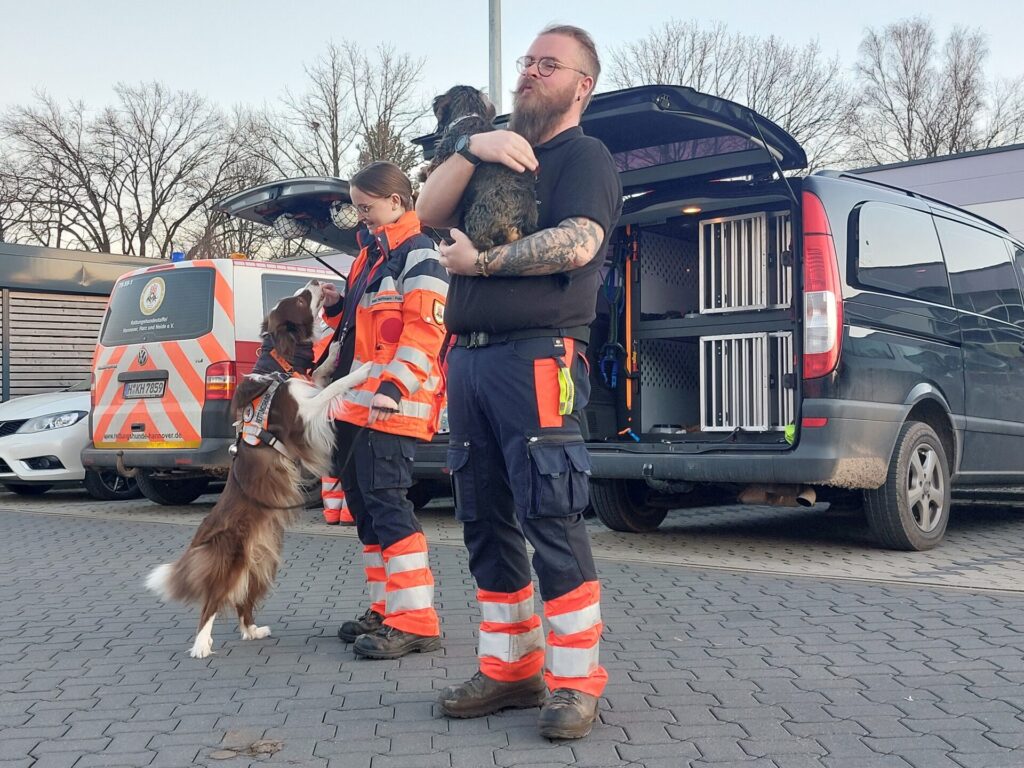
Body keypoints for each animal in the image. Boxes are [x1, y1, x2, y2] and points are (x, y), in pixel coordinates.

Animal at [148, 280, 364, 659]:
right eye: (301, 300)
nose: (315, 282)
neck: (277, 364)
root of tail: (201, 536)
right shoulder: (300, 419)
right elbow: (334, 387)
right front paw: (362, 370)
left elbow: (322, 375)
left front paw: (336, 349)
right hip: (231, 557)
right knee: (212, 601)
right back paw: (201, 645)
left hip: (262, 563)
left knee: (240, 601)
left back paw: (252, 630)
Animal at [419, 87, 540, 249]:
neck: (468, 115)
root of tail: (517, 223)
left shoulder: (441, 157)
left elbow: (430, 167)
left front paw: (421, 173)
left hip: (477, 215)